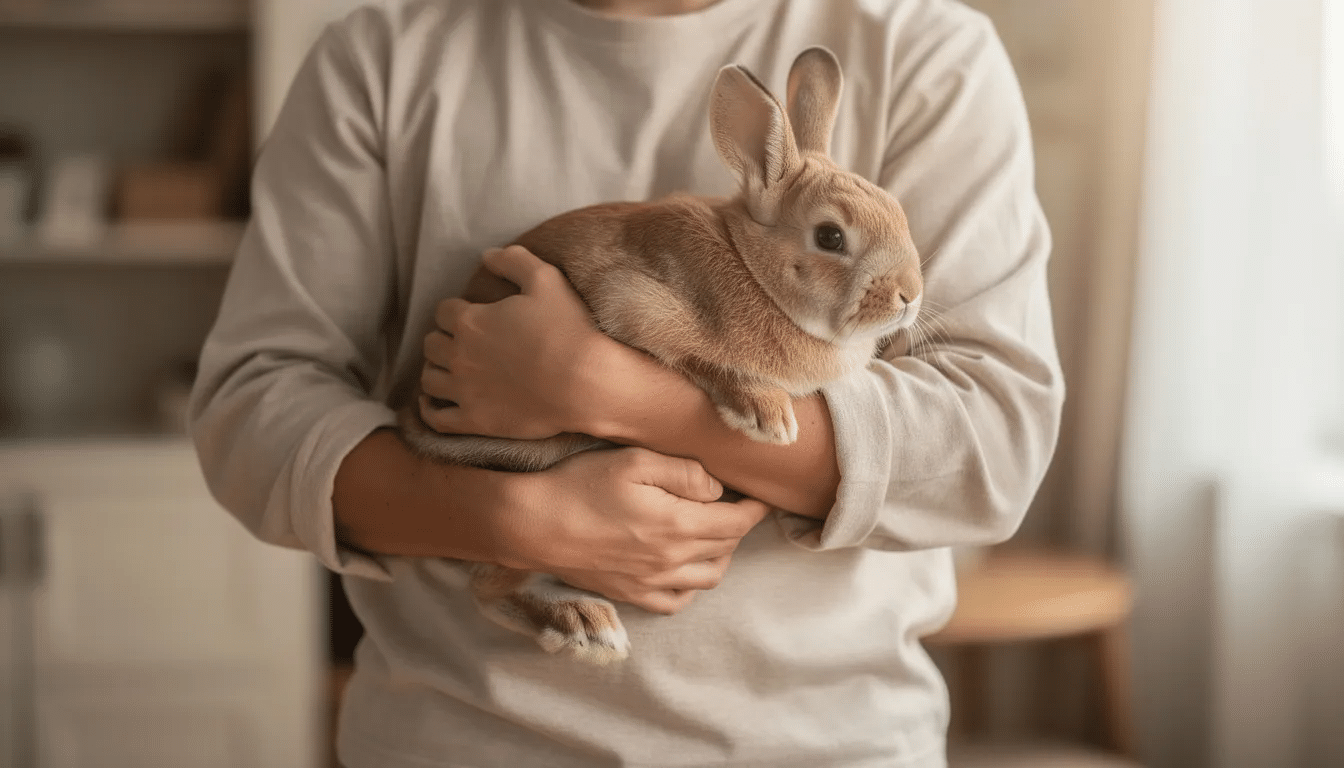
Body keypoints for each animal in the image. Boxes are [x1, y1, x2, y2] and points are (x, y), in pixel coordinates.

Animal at [396, 47, 923, 664]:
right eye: (831, 237)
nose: (910, 295)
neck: (754, 269)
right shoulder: (634, 306)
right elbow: (697, 357)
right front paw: (768, 417)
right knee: (489, 585)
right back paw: (586, 625)